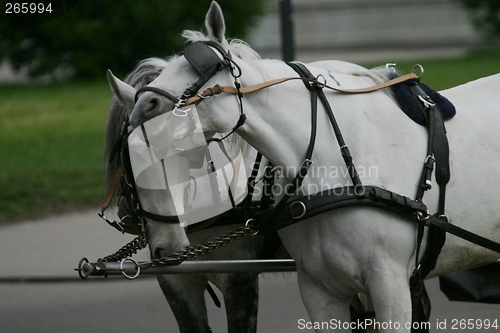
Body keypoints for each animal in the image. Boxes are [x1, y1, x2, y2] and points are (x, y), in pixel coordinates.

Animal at [111, 2, 500, 330]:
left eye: (199, 68)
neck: (338, 173)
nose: (144, 104)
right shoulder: (319, 290)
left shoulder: (391, 285)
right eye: (129, 162)